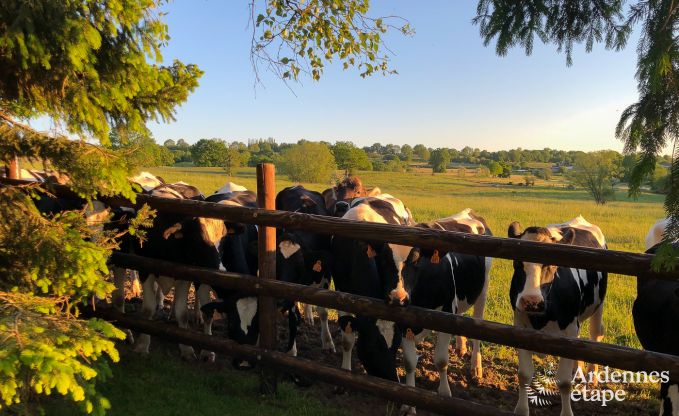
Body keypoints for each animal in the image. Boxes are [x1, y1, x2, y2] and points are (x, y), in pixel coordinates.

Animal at [274, 185, 336, 354]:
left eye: (299, 267)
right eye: (276, 265)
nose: (280, 300)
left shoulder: (326, 272)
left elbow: (323, 311)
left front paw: (328, 342)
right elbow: (293, 316)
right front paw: (291, 350)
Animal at [330, 193, 414, 382]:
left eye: (395, 345)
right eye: (373, 347)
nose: (393, 380)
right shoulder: (340, 292)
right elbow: (347, 340)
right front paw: (345, 369)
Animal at [402, 208, 492, 412]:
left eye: (414, 258)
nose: (396, 295)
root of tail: (469, 212)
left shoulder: (446, 311)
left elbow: (441, 361)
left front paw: (444, 394)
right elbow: (410, 362)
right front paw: (408, 404)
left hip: (482, 290)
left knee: (477, 329)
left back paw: (476, 367)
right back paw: (460, 346)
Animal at [508, 216, 608, 416]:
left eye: (552, 263)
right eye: (517, 263)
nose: (531, 301)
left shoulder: (569, 328)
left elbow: (564, 382)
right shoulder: (520, 325)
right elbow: (524, 374)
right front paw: (521, 409)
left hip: (598, 306)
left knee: (595, 333)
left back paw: (592, 376)